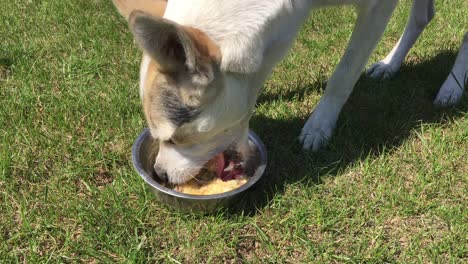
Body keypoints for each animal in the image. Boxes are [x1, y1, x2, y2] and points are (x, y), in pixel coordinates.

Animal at [112, 0, 464, 185]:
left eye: (175, 139)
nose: (159, 174)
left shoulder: (377, 7)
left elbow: (343, 74)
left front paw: (319, 126)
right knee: (423, 15)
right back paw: (391, 64)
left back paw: (453, 85)